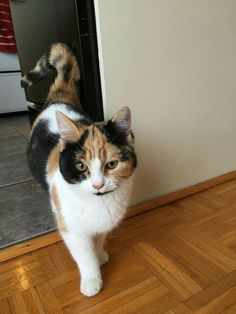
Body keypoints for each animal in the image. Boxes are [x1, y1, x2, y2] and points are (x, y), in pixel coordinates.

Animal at [22, 43, 136, 296]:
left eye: (112, 164)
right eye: (81, 166)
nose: (98, 184)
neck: (99, 203)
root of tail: (60, 98)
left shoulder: (102, 225)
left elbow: (99, 241)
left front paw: (100, 254)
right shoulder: (73, 231)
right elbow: (84, 256)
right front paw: (92, 280)